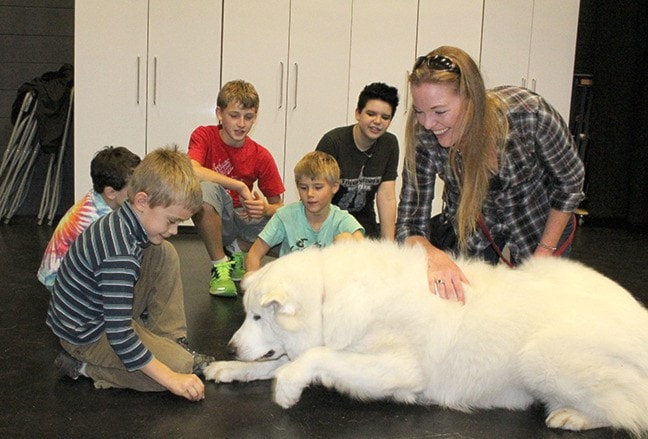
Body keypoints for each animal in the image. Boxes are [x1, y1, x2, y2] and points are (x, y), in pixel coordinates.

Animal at [205, 241, 648, 436]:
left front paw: (287, 389)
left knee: (629, 409)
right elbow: (281, 360)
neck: (331, 296)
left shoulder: (398, 368)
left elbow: (314, 357)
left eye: (259, 316)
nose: (229, 346)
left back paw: (573, 416)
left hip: (540, 357)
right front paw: (228, 368)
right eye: (247, 315)